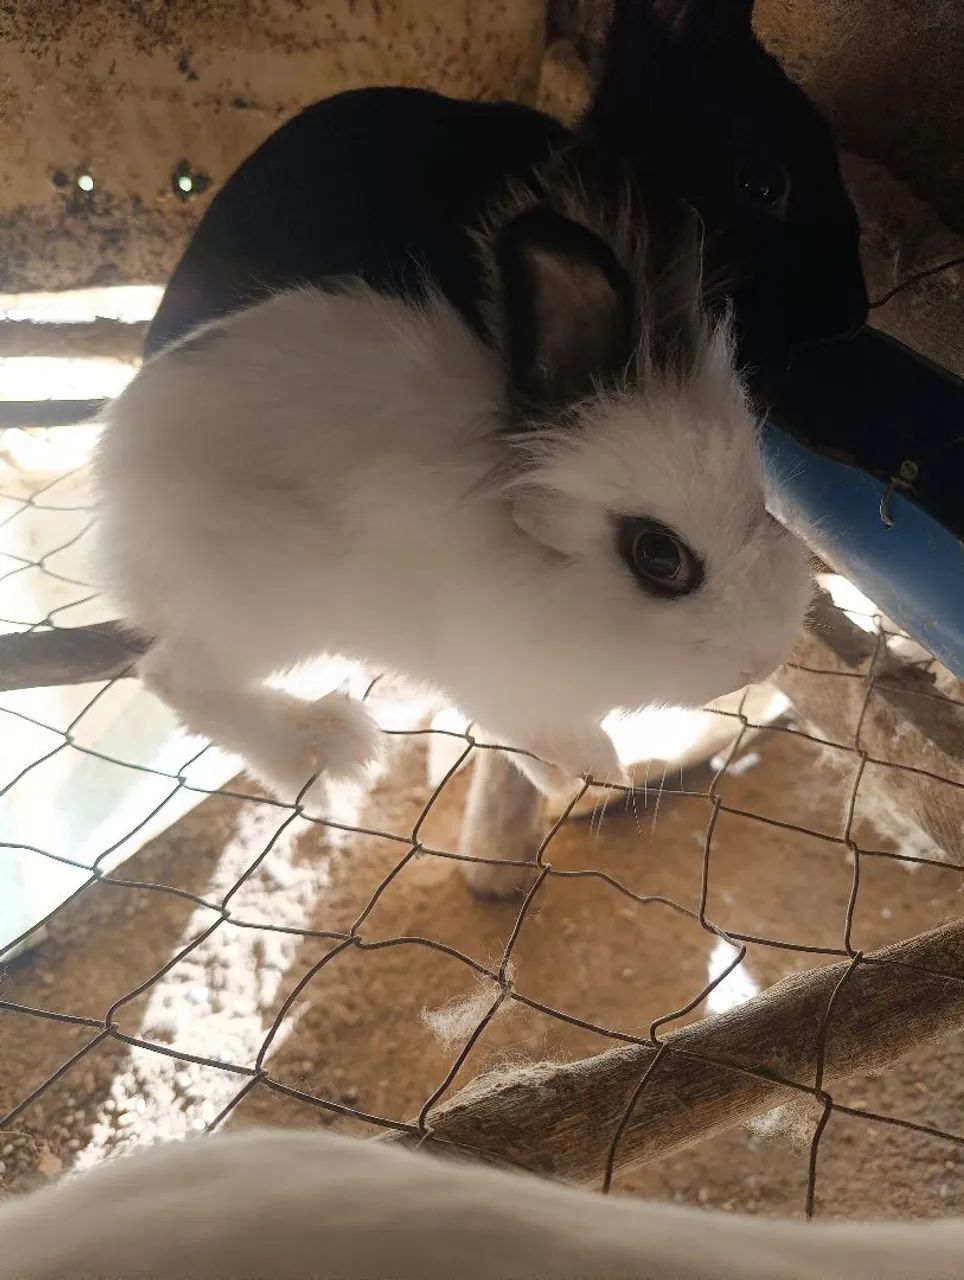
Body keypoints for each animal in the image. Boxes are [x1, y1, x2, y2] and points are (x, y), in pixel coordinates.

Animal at [95, 168, 812, 804]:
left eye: (763, 507)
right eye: (659, 556)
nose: (764, 659)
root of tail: (116, 489)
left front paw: (566, 778)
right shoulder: (477, 667)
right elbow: (530, 725)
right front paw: (595, 768)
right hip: (259, 609)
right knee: (172, 678)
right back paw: (319, 750)